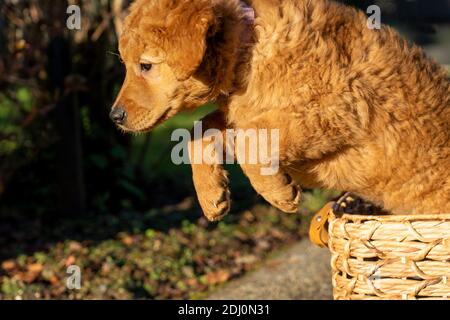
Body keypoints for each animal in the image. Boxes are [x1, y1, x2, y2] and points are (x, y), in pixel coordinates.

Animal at [110, 0, 450, 220]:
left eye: (146, 66)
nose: (115, 116)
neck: (250, 47)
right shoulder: (242, 113)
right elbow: (199, 130)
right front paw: (211, 196)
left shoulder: (337, 106)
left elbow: (251, 140)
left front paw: (280, 194)